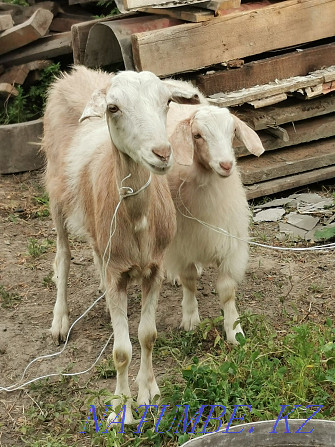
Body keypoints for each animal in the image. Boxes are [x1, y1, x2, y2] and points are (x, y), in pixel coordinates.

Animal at [41, 66, 200, 424]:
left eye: (167, 101)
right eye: (113, 108)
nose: (162, 153)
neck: (138, 220)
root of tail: (74, 73)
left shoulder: (153, 269)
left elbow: (147, 336)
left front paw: (149, 392)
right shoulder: (117, 275)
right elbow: (122, 350)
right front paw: (122, 408)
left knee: (93, 252)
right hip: (56, 195)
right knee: (63, 257)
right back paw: (59, 321)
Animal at [165, 102, 266, 344]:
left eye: (232, 133)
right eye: (197, 135)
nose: (227, 165)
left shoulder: (229, 242)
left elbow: (227, 290)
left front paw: (234, 332)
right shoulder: (183, 243)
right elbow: (189, 280)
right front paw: (190, 319)